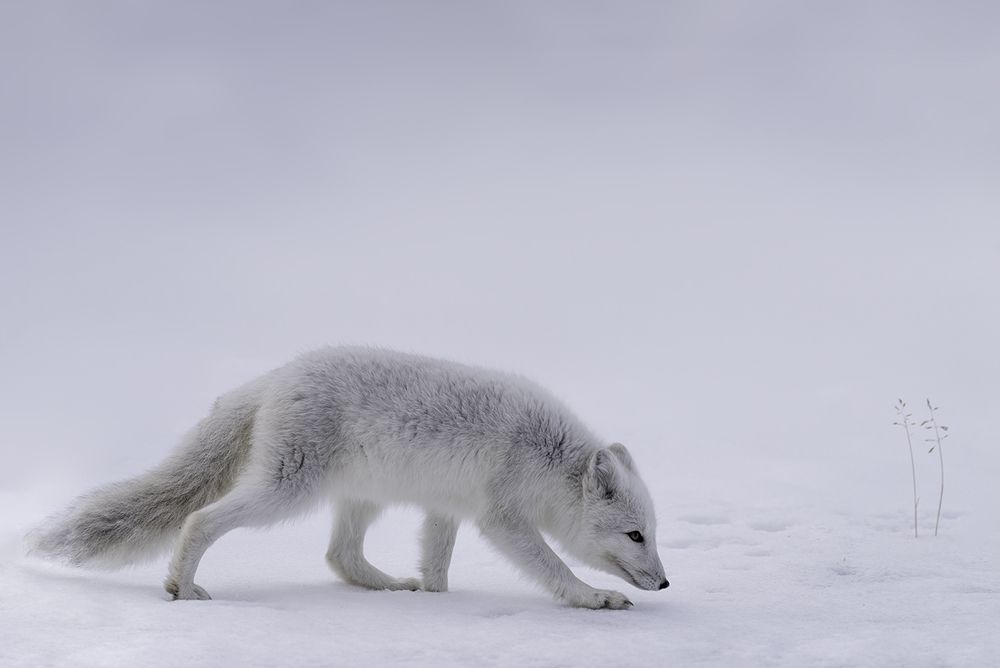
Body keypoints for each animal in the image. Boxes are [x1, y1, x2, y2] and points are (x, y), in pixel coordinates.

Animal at [27, 347, 669, 609]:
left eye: (653, 534)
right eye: (636, 535)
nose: (664, 583)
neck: (548, 457)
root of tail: (276, 375)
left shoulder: (447, 509)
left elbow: (437, 570)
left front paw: (437, 602)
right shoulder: (501, 519)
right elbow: (555, 568)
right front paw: (593, 598)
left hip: (361, 498)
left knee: (340, 557)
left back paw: (390, 588)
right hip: (284, 492)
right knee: (200, 520)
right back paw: (182, 590)